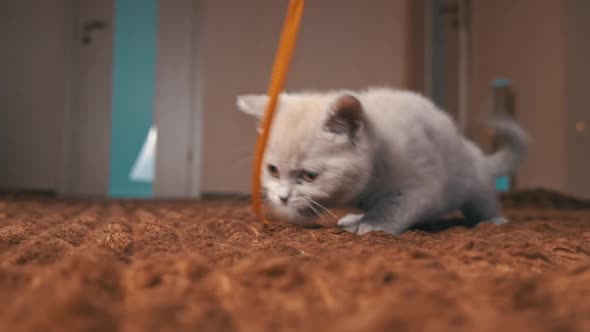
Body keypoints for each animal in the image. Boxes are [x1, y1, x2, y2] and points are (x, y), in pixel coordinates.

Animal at [238, 87, 528, 235]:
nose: (283, 197)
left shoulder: (422, 184)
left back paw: (494, 221)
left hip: (473, 185)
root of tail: (474, 152)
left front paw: (373, 226)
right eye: (272, 170)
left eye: (310, 176)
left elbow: (395, 207)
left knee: (483, 204)